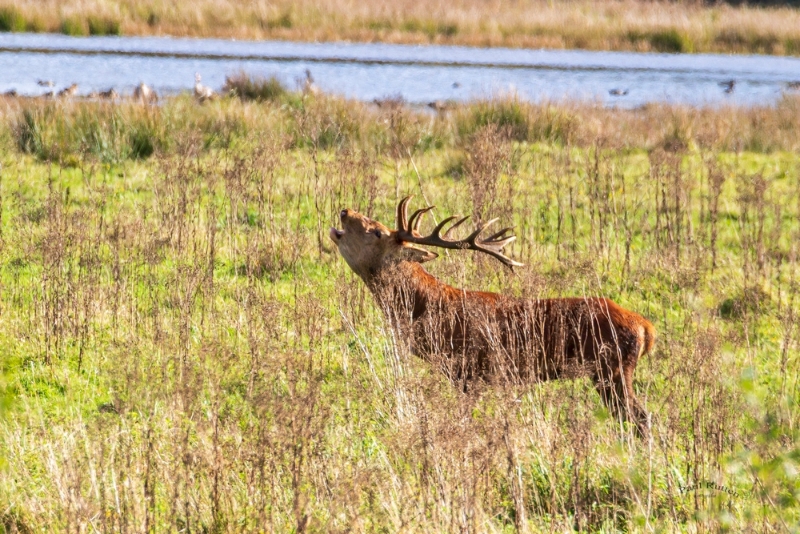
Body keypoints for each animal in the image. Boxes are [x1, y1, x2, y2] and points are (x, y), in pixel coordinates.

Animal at [332, 197, 656, 440]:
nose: (345, 211)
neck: (429, 310)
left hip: (612, 369)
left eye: (377, 231)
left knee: (640, 418)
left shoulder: (467, 371)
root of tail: (646, 328)